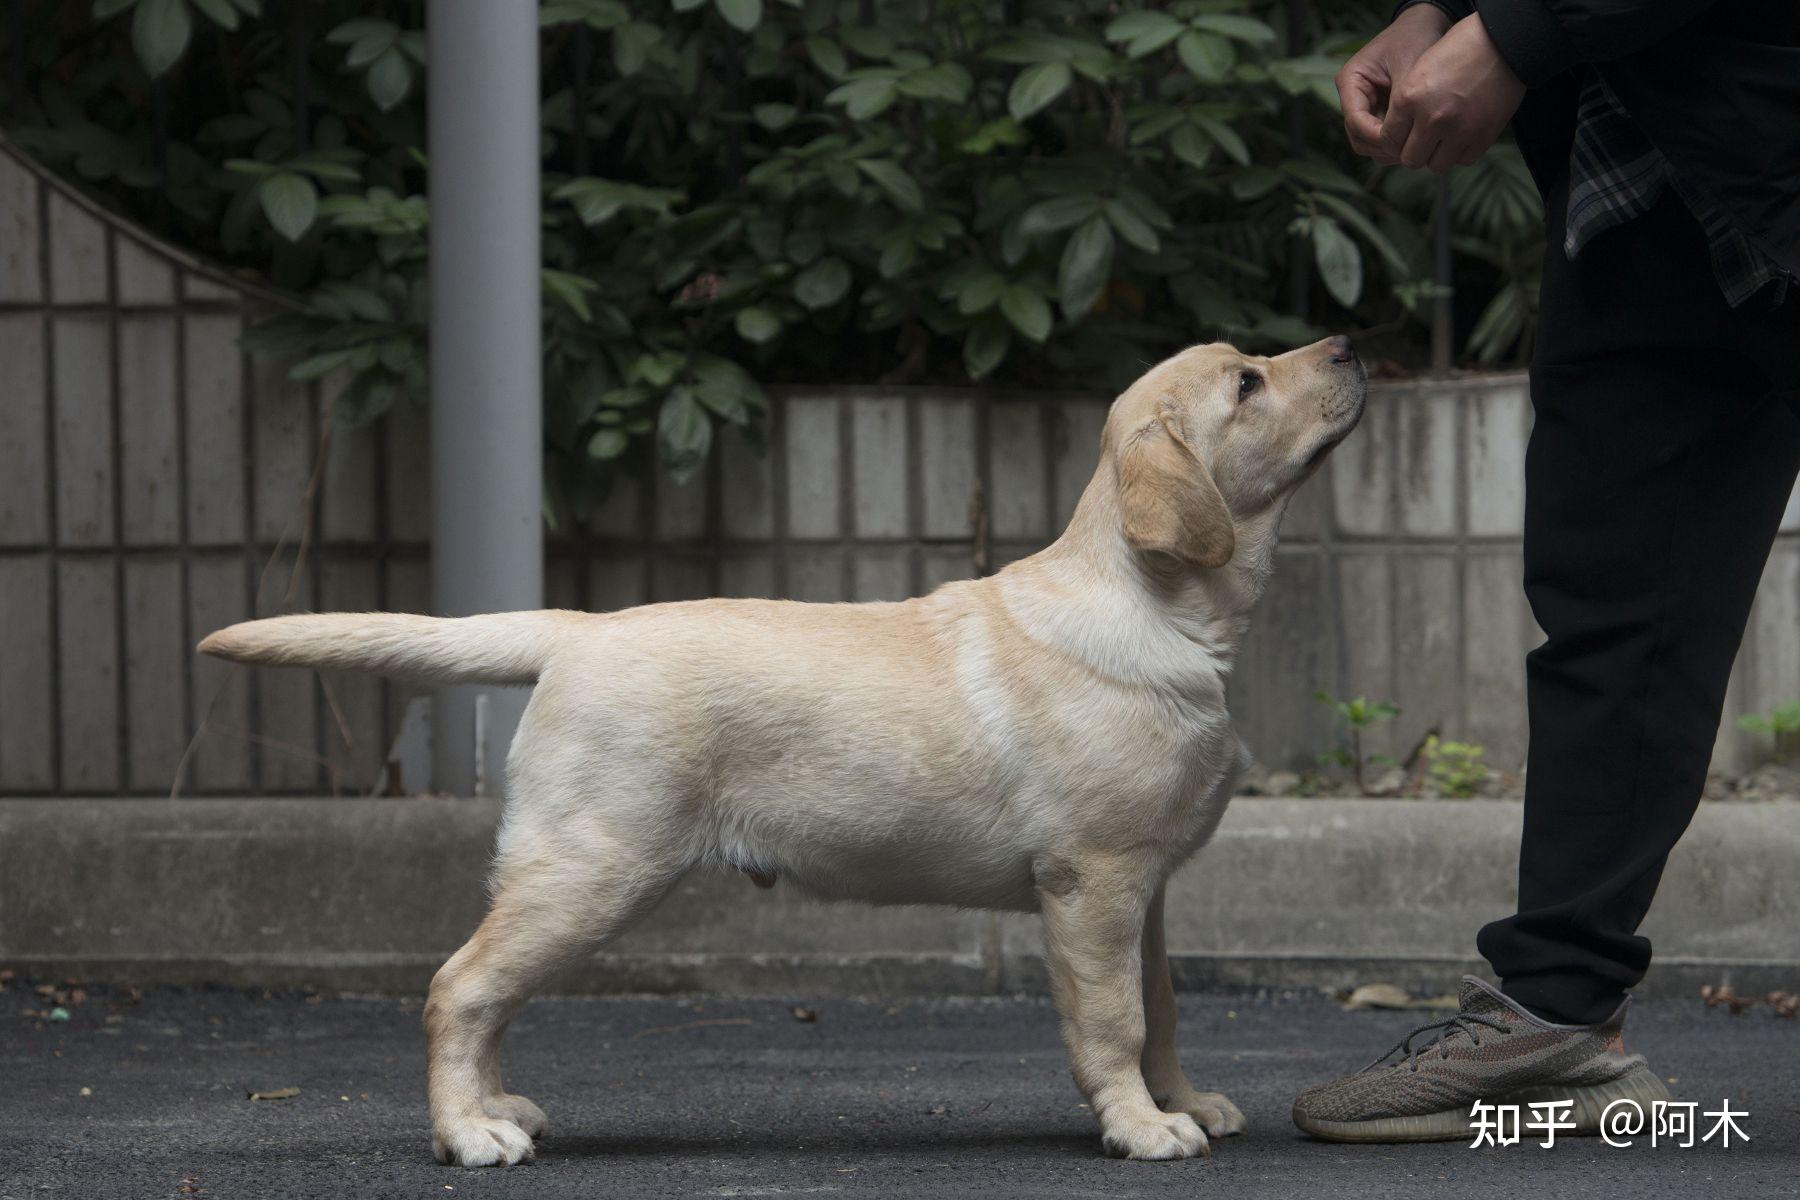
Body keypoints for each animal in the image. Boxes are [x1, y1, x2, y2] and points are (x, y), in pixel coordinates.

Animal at [197, 332, 1360, 1165]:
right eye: (1248, 382)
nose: (1352, 343)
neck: (1157, 603)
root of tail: (576, 628)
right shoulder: (1095, 881)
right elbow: (1115, 1018)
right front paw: (1140, 1125)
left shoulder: (1144, 889)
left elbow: (1162, 1009)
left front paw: (1184, 1100)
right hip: (595, 866)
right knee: (460, 986)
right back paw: (466, 1133)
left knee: (485, 995)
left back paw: (496, 1108)